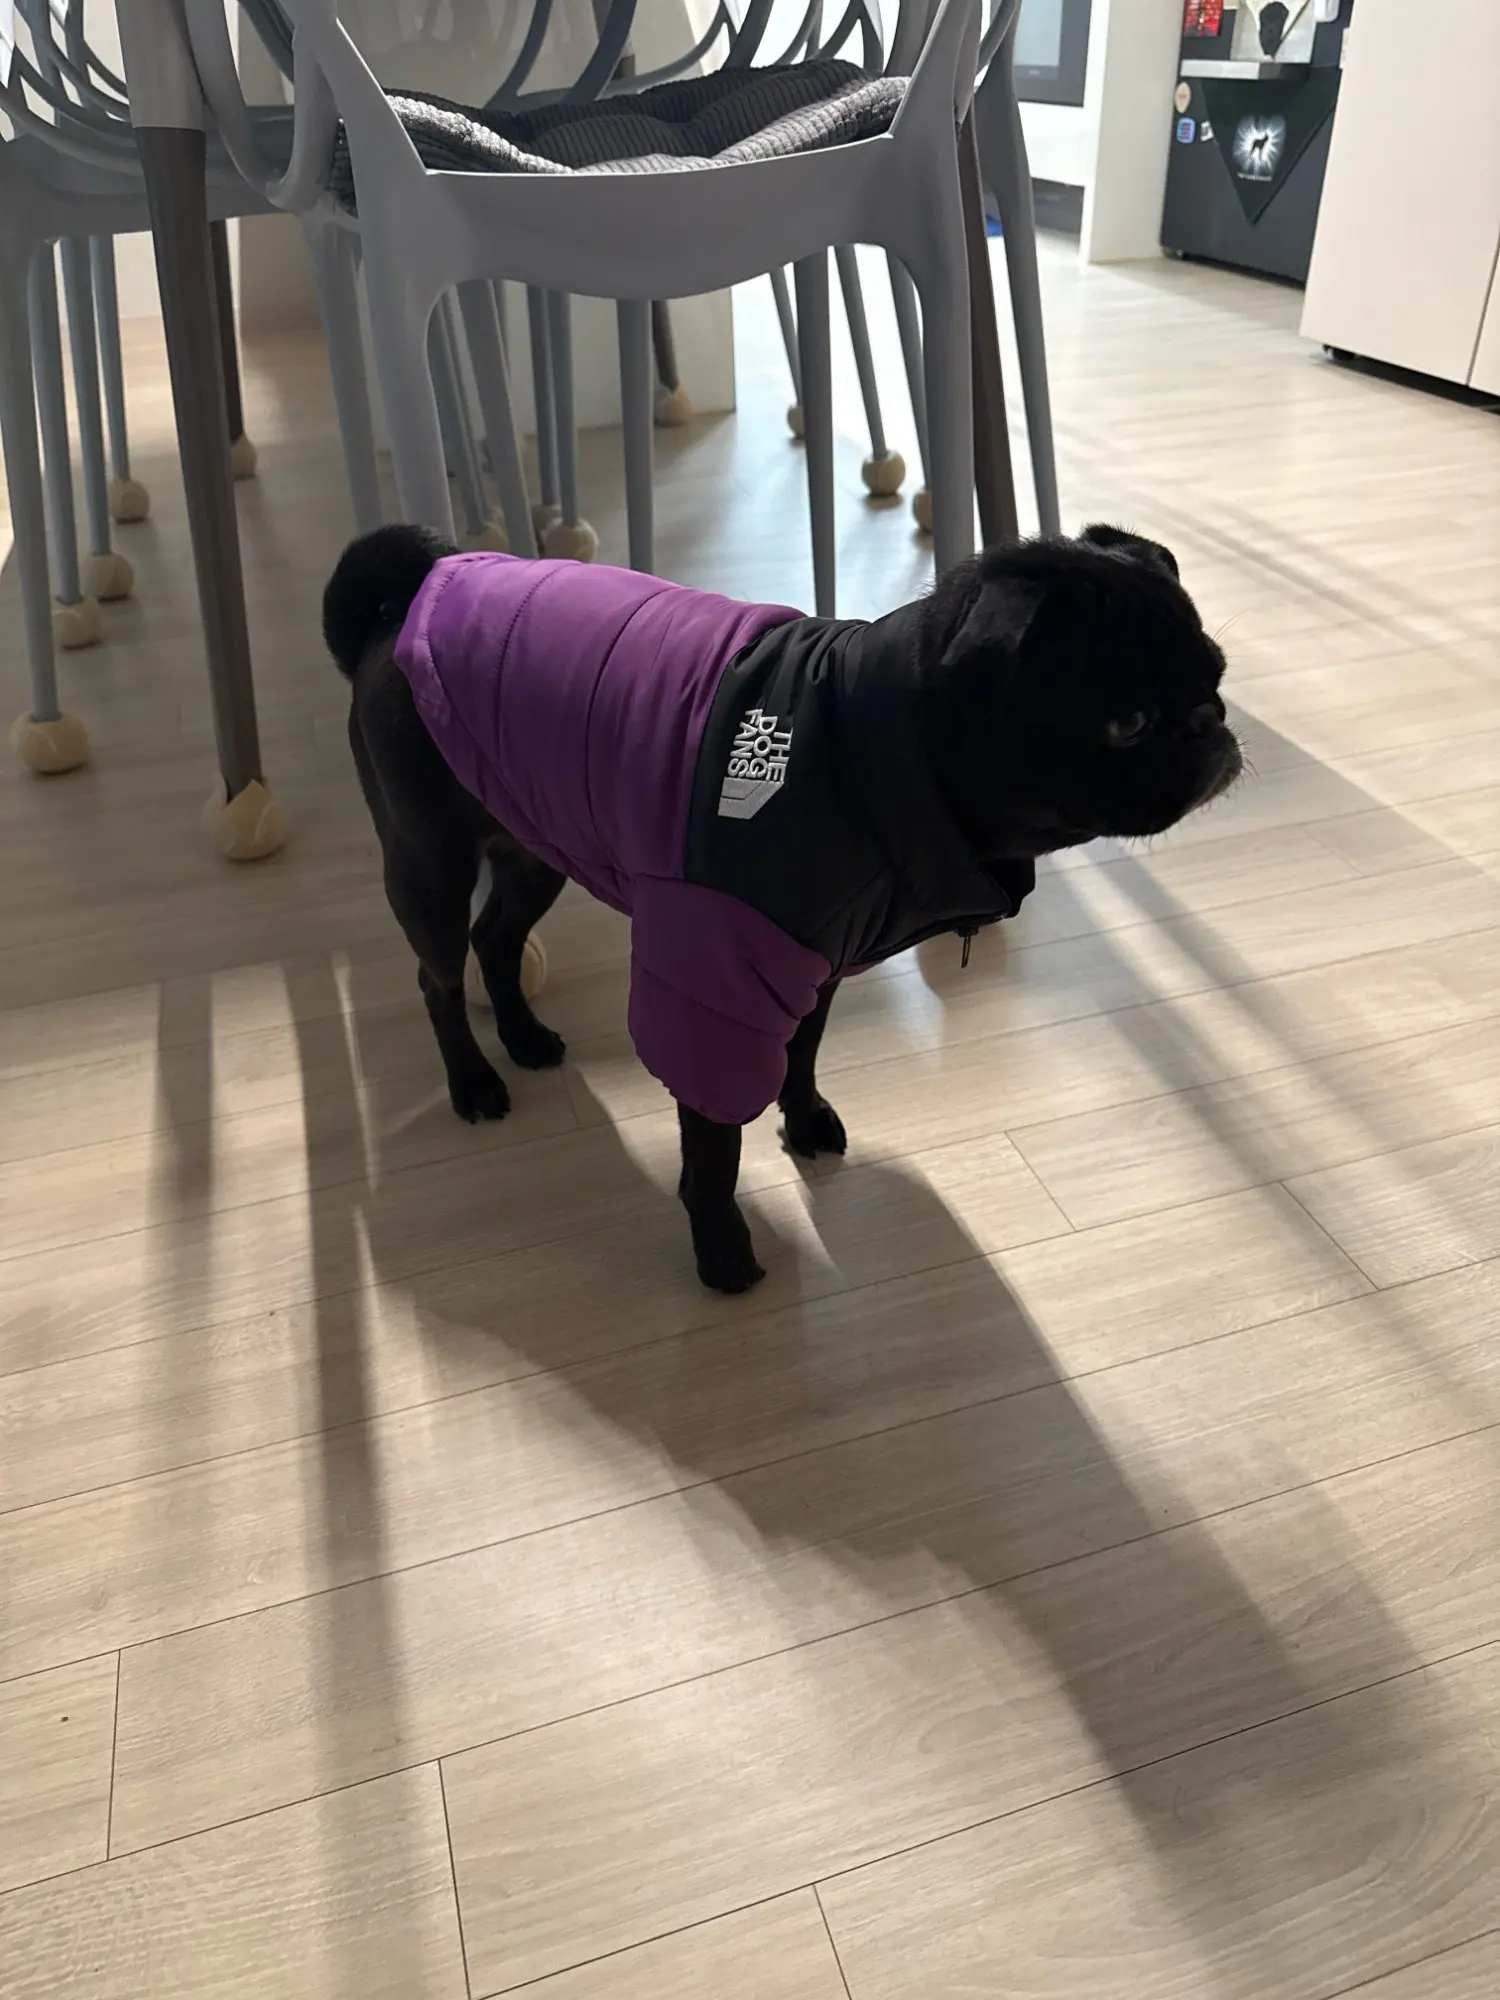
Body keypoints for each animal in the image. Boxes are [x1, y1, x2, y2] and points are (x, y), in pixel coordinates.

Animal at [324, 522, 1239, 1293]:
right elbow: (713, 1145)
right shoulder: (715, 993)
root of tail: (407, 603)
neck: (878, 750)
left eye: (1217, 677)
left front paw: (803, 1123)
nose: (1211, 723)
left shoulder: (813, 967)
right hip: (430, 865)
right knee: (440, 977)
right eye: (1127, 722)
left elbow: (802, 1056)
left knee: (497, 939)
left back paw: (521, 1036)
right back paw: (474, 1079)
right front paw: (722, 1246)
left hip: (531, 846)